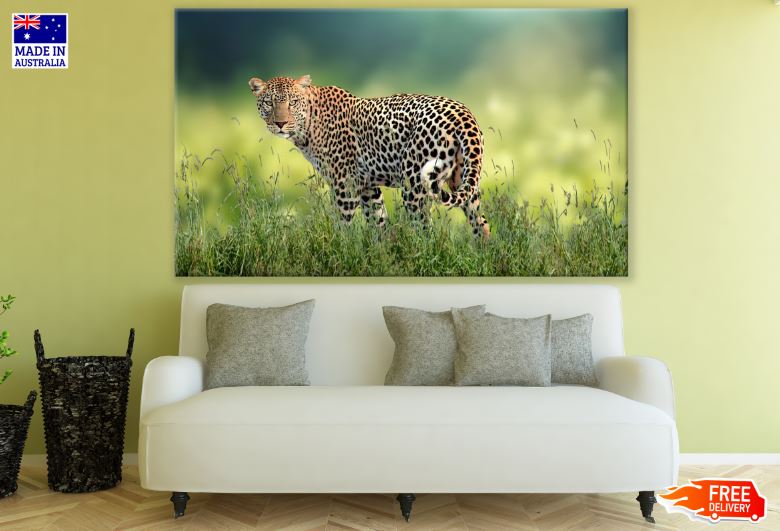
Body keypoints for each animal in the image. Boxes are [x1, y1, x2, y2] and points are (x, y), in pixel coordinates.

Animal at [249, 74, 490, 238]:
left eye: (293, 102)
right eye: (269, 102)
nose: (280, 123)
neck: (307, 126)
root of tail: (462, 113)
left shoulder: (345, 185)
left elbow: (342, 226)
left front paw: (338, 250)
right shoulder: (367, 187)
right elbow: (378, 223)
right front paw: (382, 255)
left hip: (414, 185)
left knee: (424, 230)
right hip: (463, 180)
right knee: (482, 224)